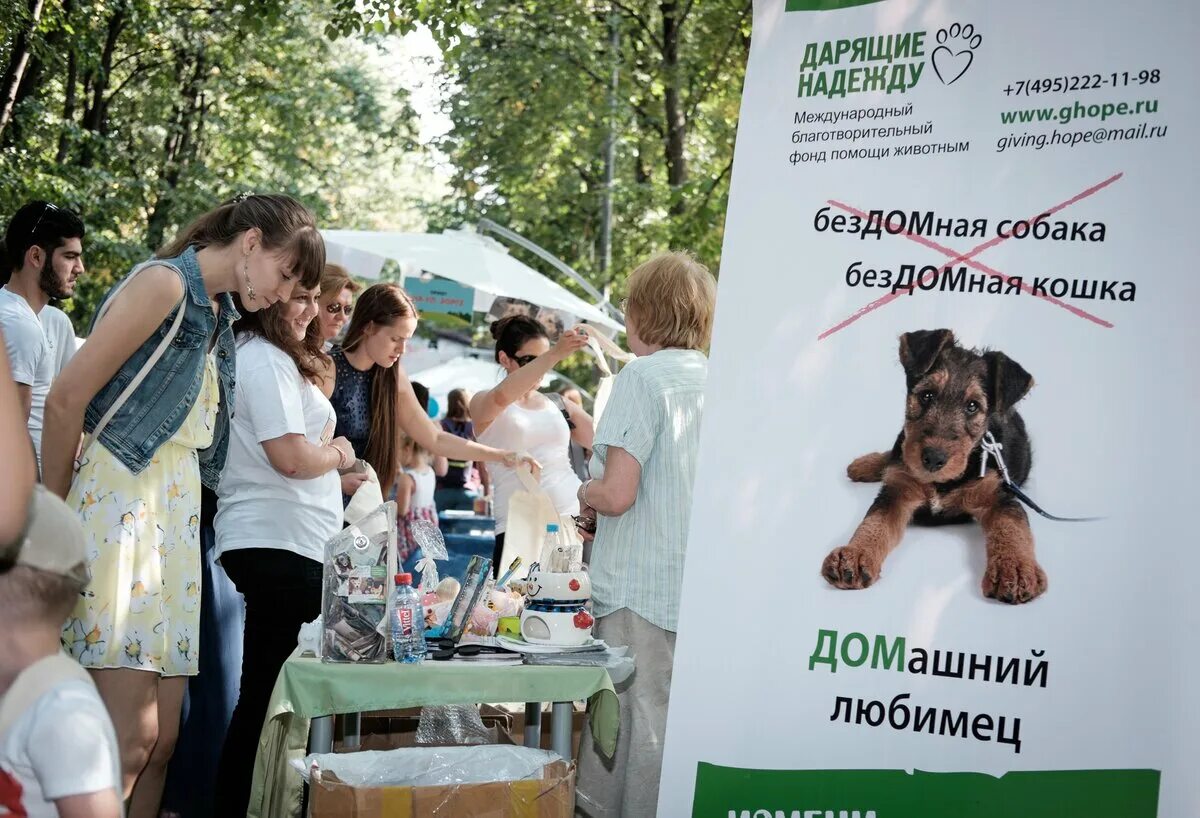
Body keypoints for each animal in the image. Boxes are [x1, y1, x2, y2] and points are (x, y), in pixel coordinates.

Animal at [825, 328, 1041, 602]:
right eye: (927, 395)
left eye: (973, 406)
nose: (933, 459)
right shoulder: (897, 490)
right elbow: (874, 523)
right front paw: (855, 555)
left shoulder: (1000, 496)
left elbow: (1011, 528)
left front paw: (1015, 570)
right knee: (893, 454)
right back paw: (864, 465)